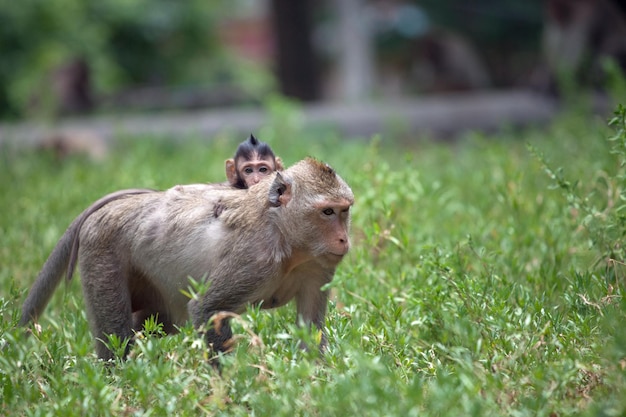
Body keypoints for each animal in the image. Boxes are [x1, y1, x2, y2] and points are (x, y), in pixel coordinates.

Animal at [18, 158, 352, 360]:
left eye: (344, 210)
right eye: (327, 212)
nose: (343, 239)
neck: (288, 240)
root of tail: (109, 210)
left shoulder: (318, 267)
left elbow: (310, 326)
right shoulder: (255, 261)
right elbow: (208, 309)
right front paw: (228, 388)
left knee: (157, 321)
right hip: (102, 254)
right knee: (118, 336)